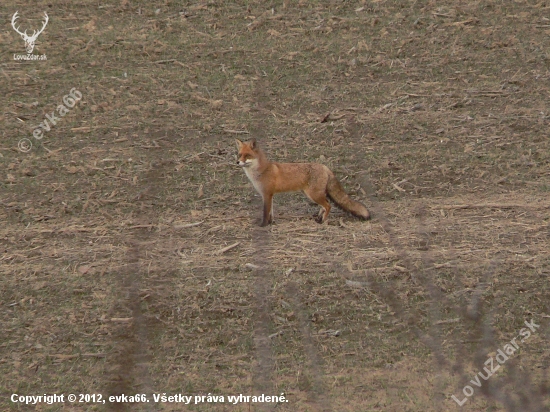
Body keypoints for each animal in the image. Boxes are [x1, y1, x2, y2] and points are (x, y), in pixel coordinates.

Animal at [236, 140, 370, 227]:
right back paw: (319, 218)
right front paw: (271, 223)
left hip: (313, 195)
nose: (237, 162)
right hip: (313, 194)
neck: (261, 171)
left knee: (328, 206)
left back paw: (323, 221)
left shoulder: (266, 195)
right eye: (239, 154)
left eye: (247, 155)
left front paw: (263, 225)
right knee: (324, 205)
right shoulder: (270, 195)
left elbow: (265, 212)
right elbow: (271, 212)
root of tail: (324, 166)